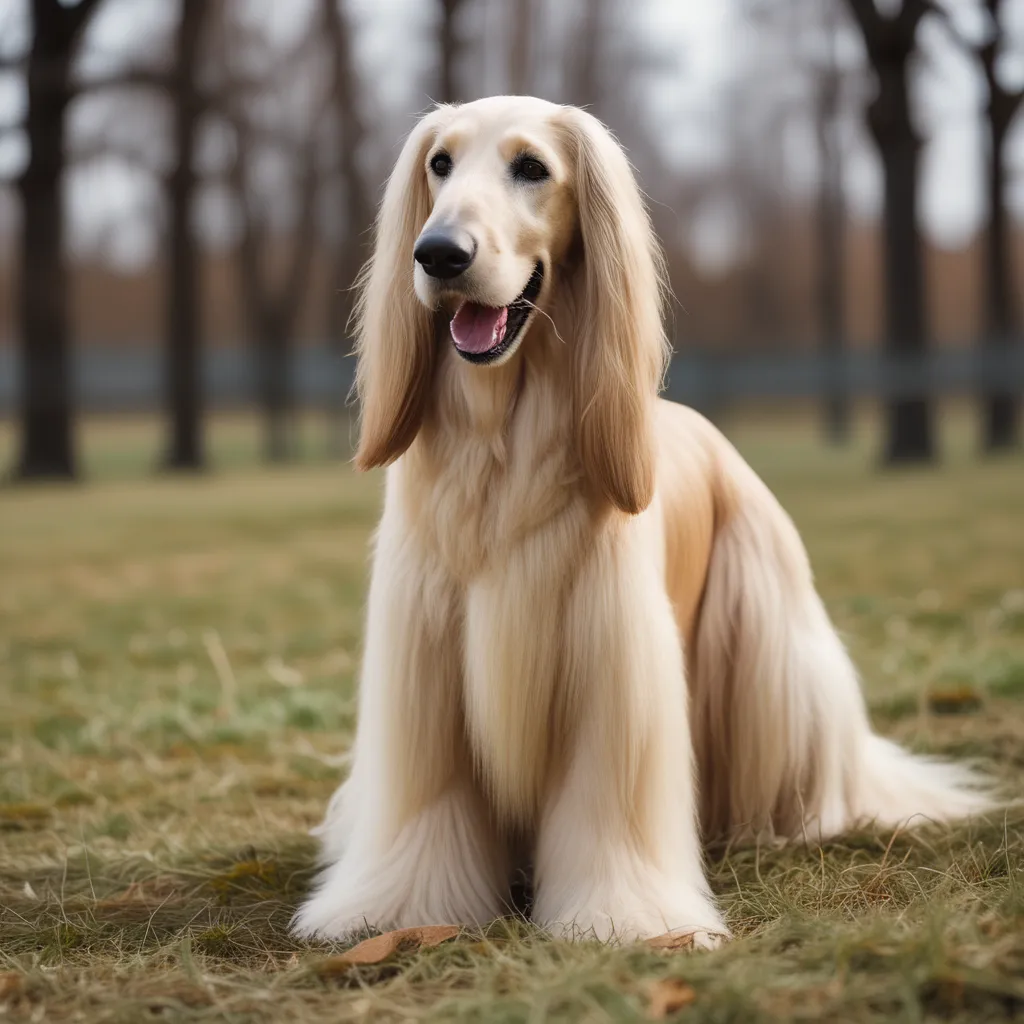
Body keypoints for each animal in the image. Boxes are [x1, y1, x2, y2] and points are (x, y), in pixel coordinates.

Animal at [294, 96, 991, 942]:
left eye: (532, 167)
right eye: (440, 165)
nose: (438, 255)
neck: (502, 447)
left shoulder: (607, 665)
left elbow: (603, 813)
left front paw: (622, 918)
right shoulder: (425, 666)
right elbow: (430, 811)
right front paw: (396, 910)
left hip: (769, 648)